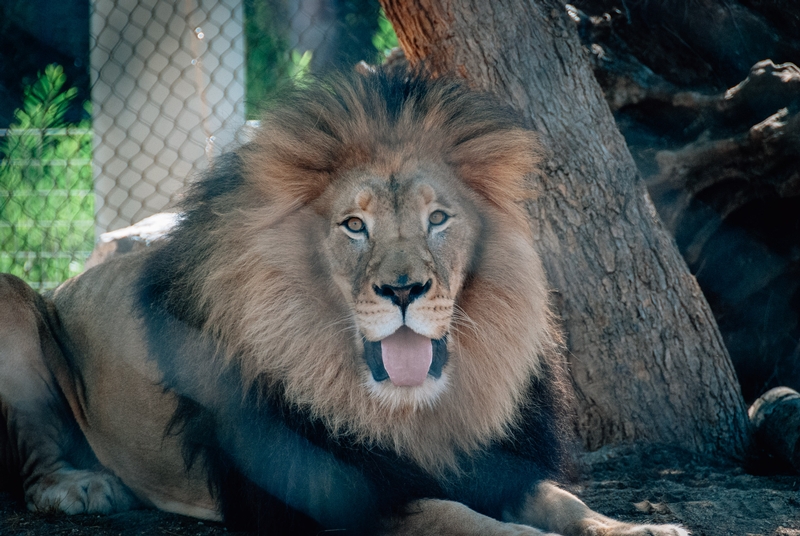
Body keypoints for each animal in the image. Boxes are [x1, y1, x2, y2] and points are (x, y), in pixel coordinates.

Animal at [0, 69, 688, 532]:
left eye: (439, 219)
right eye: (354, 226)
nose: (404, 290)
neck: (418, 410)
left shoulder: (497, 461)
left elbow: (565, 503)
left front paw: (643, 526)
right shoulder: (342, 500)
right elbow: (462, 519)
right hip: (14, 302)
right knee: (31, 465)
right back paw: (81, 488)